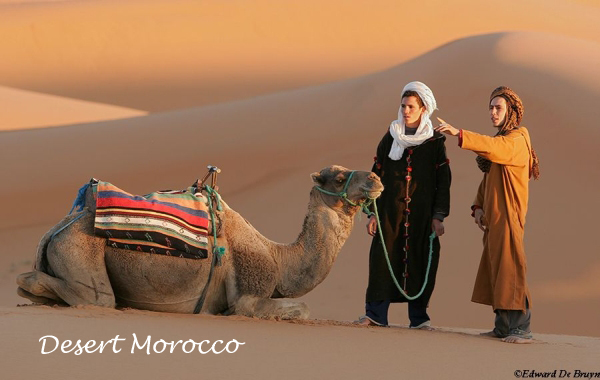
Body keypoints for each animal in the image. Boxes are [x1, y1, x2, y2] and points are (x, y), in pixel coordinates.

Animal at [17, 166, 384, 318]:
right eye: (339, 177)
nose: (376, 178)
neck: (278, 258)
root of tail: (58, 229)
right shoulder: (248, 295)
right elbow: (303, 309)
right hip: (78, 251)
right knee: (87, 295)